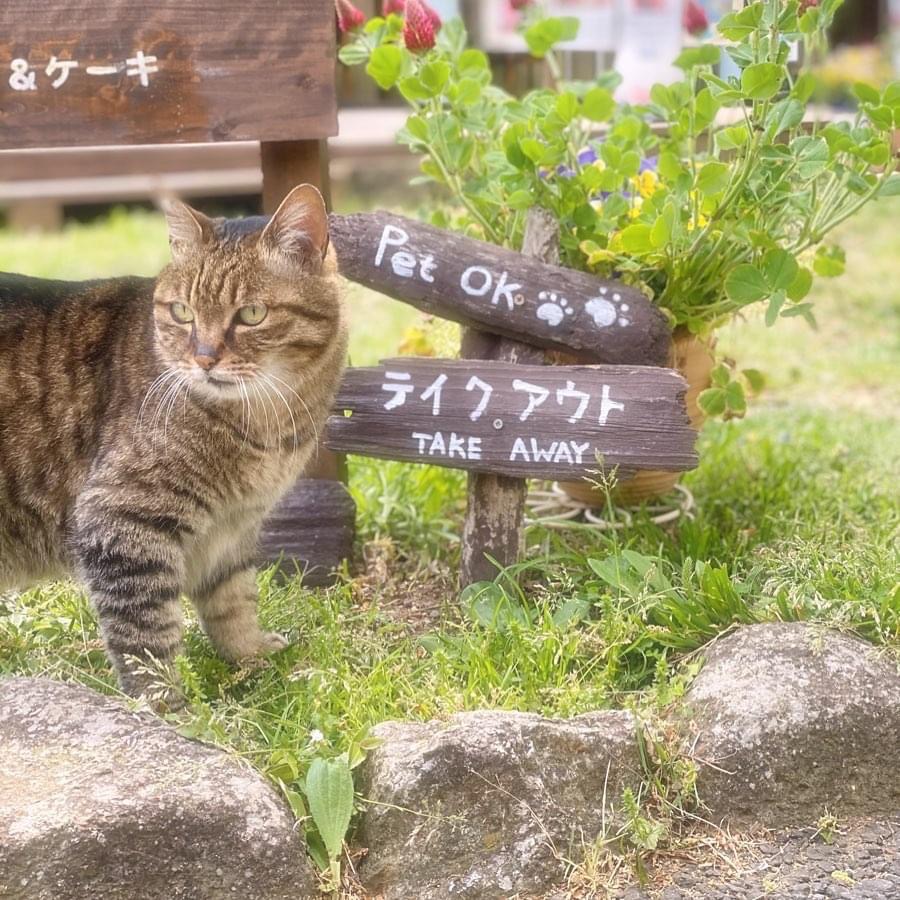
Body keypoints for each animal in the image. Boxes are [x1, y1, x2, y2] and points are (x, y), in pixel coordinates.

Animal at [0, 186, 346, 700]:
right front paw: (170, 709)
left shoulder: (233, 528)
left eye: (252, 314)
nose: (203, 359)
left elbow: (233, 600)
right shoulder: (119, 519)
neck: (267, 422)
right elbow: (146, 638)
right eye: (182, 312)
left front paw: (252, 662)